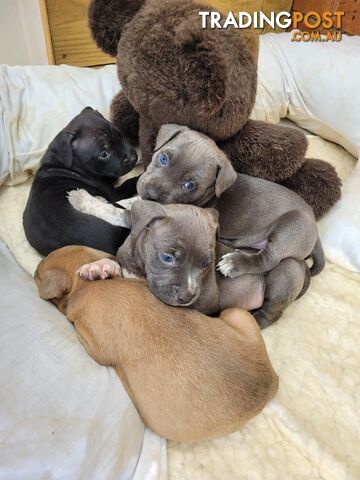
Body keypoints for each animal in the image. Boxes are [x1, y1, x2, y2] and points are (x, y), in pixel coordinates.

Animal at [35, 248, 278, 442]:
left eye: (37, 275)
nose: (36, 268)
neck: (85, 286)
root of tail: (273, 381)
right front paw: (100, 268)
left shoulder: (94, 344)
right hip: (237, 314)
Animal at [136, 124, 324, 326]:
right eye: (163, 158)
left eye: (190, 185)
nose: (150, 195)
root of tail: (314, 226)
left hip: (293, 226)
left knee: (269, 261)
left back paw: (235, 266)